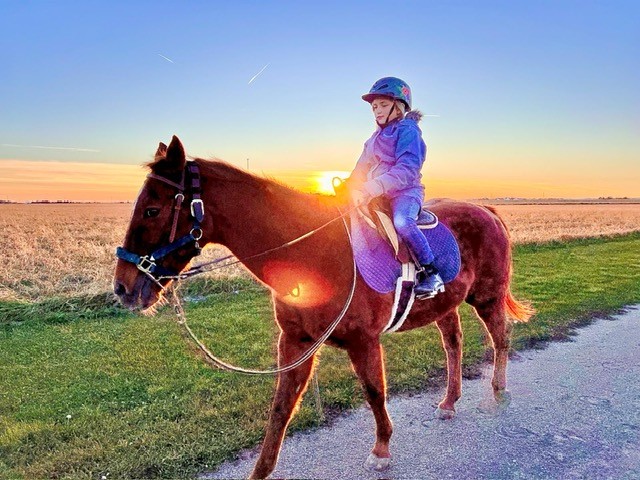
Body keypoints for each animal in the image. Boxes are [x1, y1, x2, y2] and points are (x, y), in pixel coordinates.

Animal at [112, 136, 532, 480]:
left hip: (488, 297)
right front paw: (261, 470)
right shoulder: (295, 343)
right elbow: (281, 408)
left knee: (500, 338)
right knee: (454, 343)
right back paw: (449, 401)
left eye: (152, 210)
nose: (122, 288)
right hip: (446, 305)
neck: (314, 254)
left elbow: (374, 391)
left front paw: (381, 450)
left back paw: (499, 391)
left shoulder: (364, 341)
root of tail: (488, 211)